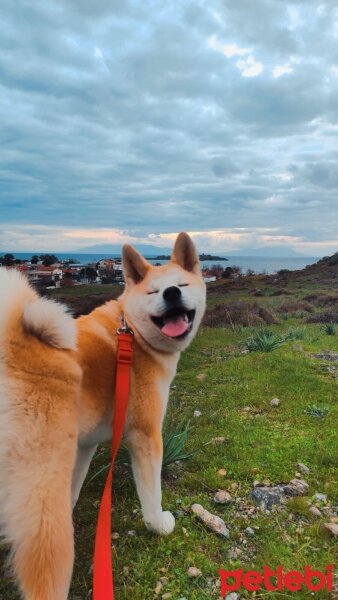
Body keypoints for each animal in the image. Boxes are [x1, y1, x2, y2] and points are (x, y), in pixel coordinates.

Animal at [0, 233, 206, 600]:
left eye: (181, 284)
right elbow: (151, 495)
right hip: (42, 494)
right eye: (154, 291)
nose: (171, 293)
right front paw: (159, 524)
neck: (132, 334)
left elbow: (74, 489)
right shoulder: (145, 435)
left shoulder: (84, 446)